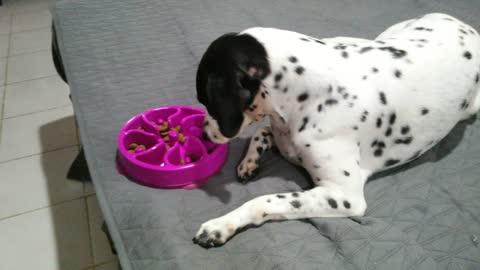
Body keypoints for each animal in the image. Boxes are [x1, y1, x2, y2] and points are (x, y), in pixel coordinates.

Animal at [192, 13, 480, 249]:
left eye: (207, 101)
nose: (203, 134)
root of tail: (463, 24)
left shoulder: (344, 196)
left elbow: (264, 200)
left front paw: (221, 225)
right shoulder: (281, 134)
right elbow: (261, 132)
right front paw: (248, 162)